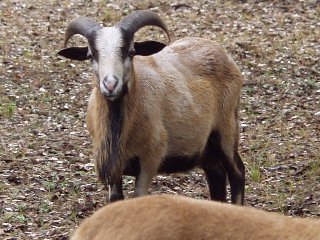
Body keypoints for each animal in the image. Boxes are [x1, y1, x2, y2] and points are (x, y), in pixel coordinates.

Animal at [58, 10, 245, 203]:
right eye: (91, 55)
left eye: (131, 52)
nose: (110, 85)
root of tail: (220, 51)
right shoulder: (113, 164)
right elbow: (116, 199)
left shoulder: (150, 159)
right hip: (205, 148)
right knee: (217, 175)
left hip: (226, 129)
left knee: (237, 172)